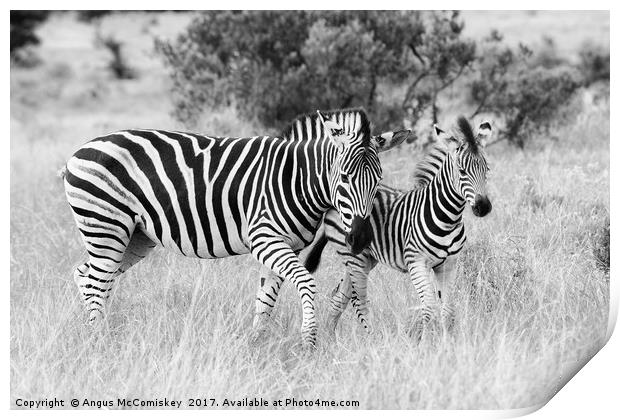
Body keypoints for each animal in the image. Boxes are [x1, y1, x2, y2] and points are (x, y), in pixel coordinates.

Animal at [260, 115, 492, 338]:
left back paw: (329, 338)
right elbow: (429, 308)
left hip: (362, 258)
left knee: (339, 297)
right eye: (462, 171)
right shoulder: (417, 262)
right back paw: (369, 339)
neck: (446, 216)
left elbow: (448, 311)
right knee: (357, 300)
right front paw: (422, 341)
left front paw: (445, 343)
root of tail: (332, 202)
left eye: (487, 169)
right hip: (354, 257)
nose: (484, 207)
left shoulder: (449, 264)